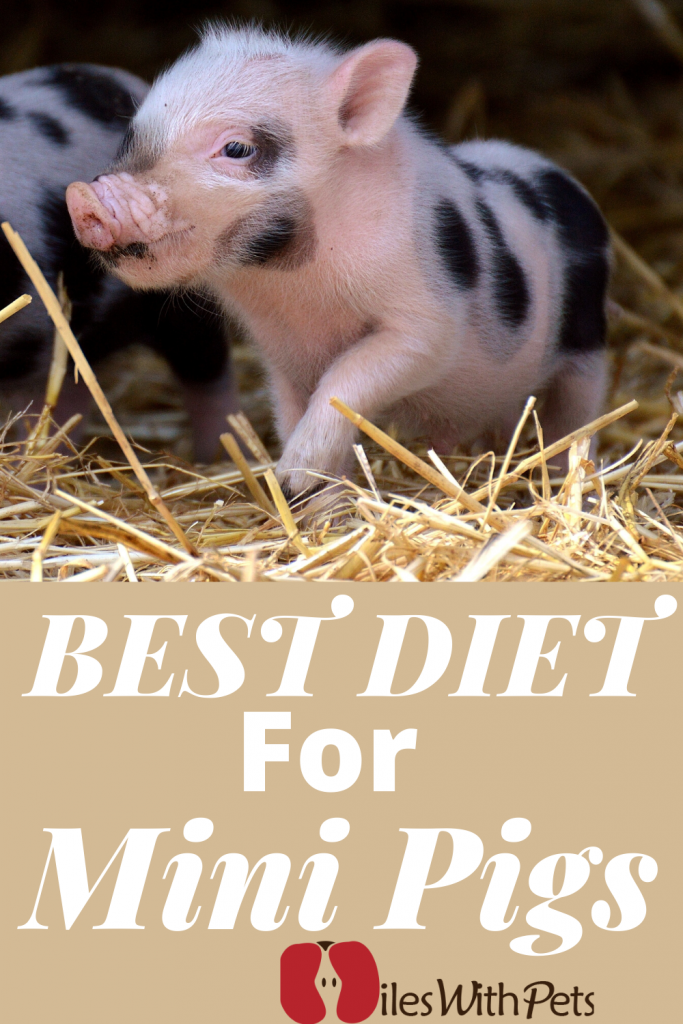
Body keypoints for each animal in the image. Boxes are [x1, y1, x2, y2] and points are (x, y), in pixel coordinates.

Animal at [66, 26, 610, 496]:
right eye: (130, 139)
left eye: (237, 148)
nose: (85, 200)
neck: (294, 288)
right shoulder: (279, 351)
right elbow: (293, 410)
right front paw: (308, 497)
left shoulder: (424, 321)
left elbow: (347, 379)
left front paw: (293, 473)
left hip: (587, 342)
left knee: (575, 418)